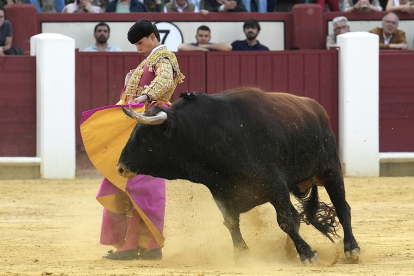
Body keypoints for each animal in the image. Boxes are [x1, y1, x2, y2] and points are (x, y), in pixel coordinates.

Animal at [116, 88, 360, 266]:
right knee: (298, 215)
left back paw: (351, 249)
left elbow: (284, 221)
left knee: (342, 208)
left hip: (330, 170)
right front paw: (242, 255)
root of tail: (315, 107)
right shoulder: (221, 191)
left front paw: (308, 254)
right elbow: (232, 223)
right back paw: (289, 252)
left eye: (146, 137)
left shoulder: (275, 184)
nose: (120, 168)